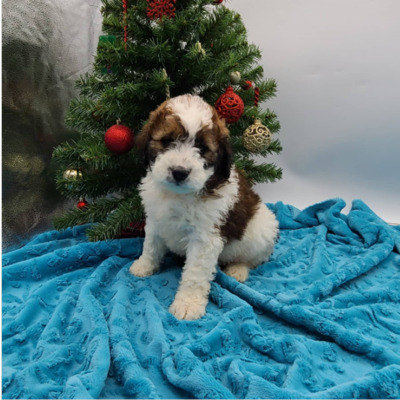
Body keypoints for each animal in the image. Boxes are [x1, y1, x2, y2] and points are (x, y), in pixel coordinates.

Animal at [129, 93, 278, 318]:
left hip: (263, 230)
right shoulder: (155, 219)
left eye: (202, 148)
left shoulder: (205, 238)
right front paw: (144, 266)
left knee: (254, 257)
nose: (179, 172)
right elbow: (151, 246)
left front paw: (188, 304)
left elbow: (194, 273)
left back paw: (238, 270)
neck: (178, 195)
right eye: (167, 141)